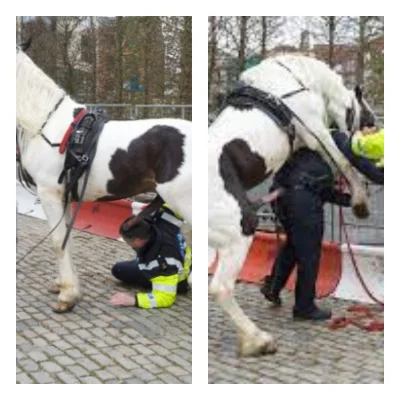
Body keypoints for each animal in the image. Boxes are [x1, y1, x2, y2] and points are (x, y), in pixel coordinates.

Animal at [18, 38, 193, 312]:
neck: (47, 125)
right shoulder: (65, 196)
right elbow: (67, 238)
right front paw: (64, 285)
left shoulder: (49, 194)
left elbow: (57, 241)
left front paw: (68, 296)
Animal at [208, 53, 376, 356]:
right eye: (366, 115)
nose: (374, 127)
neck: (296, 80)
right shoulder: (317, 131)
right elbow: (343, 162)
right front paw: (360, 201)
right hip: (239, 235)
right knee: (221, 288)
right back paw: (257, 340)